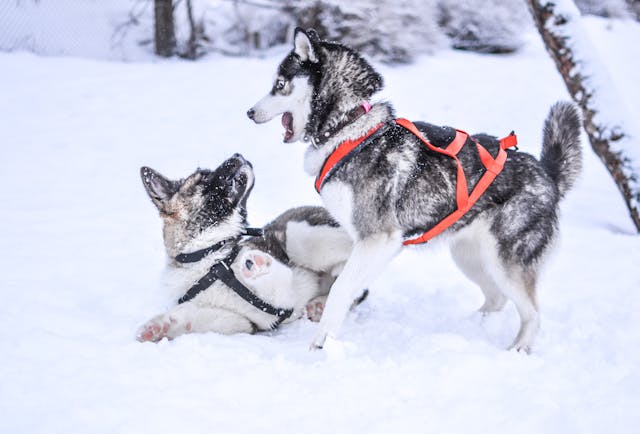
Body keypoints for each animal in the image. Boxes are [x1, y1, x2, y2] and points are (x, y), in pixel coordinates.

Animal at [138, 153, 356, 342]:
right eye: (204, 177)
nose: (238, 154)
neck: (208, 256)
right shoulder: (239, 321)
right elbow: (191, 316)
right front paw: (159, 327)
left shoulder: (286, 293)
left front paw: (257, 264)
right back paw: (320, 304)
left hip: (300, 235)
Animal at [246, 28, 584, 352]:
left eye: (279, 84)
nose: (249, 112)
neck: (348, 128)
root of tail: (548, 175)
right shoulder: (372, 245)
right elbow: (347, 283)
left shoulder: (377, 239)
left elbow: (341, 288)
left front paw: (320, 343)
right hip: (469, 256)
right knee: (496, 299)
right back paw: (470, 326)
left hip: (506, 263)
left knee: (533, 314)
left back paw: (518, 348)